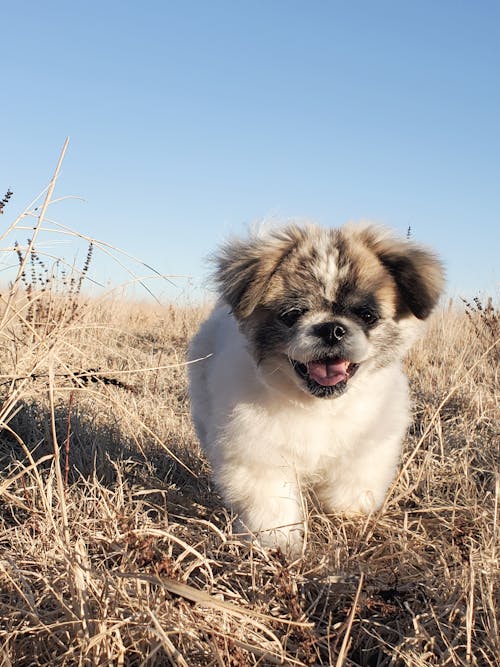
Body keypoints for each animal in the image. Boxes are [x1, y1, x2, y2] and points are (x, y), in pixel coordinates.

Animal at [188, 224, 446, 552]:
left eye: (367, 316)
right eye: (292, 315)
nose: (332, 329)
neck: (320, 407)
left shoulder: (368, 447)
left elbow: (352, 485)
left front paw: (347, 517)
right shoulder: (259, 454)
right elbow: (271, 504)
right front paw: (278, 541)